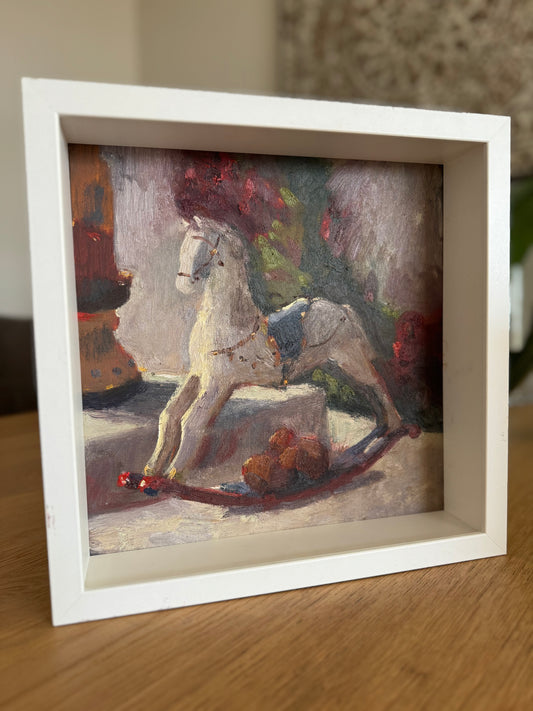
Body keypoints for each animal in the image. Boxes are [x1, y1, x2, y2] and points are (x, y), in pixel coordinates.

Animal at [144, 216, 403, 479]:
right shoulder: (198, 374)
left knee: (376, 383)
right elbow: (170, 414)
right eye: (185, 246)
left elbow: (192, 421)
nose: (182, 283)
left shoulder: (217, 382)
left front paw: (175, 472)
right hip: (337, 366)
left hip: (350, 359)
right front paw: (153, 467)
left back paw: (393, 427)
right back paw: (380, 428)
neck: (227, 323)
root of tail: (343, 309)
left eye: (203, 247)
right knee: (367, 389)